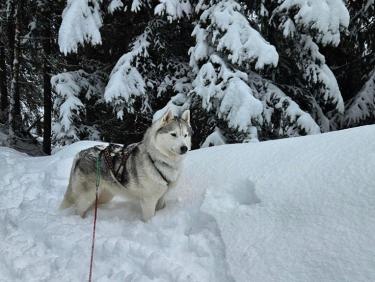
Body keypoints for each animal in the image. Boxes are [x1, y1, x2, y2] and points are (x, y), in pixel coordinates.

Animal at [61, 109, 194, 221]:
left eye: (185, 135)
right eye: (173, 134)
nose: (184, 148)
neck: (157, 160)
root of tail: (81, 153)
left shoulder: (161, 198)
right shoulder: (149, 201)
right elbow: (149, 218)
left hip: (105, 194)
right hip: (88, 196)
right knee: (78, 209)